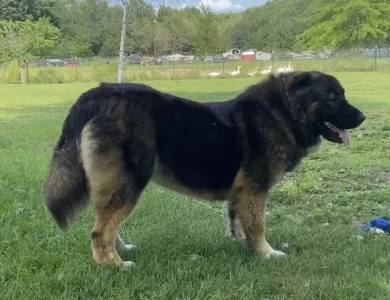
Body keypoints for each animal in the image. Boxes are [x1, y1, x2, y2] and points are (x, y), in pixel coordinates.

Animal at [45, 70, 366, 270]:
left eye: (342, 94)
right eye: (332, 98)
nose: (363, 116)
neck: (285, 112)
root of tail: (97, 95)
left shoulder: (242, 192)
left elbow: (239, 222)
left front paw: (245, 246)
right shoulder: (256, 188)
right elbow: (258, 225)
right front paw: (266, 253)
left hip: (117, 184)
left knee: (105, 224)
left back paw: (119, 251)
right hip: (130, 182)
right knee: (101, 231)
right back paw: (114, 264)